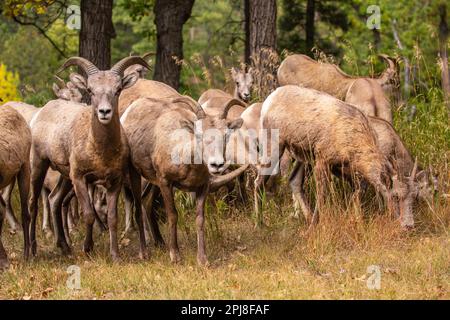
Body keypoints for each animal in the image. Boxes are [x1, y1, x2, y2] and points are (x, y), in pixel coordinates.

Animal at [29, 56, 150, 262]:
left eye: (118, 90)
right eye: (90, 90)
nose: (104, 112)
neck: (100, 150)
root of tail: (43, 110)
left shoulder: (114, 182)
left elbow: (112, 218)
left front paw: (115, 256)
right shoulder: (80, 178)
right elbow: (88, 214)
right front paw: (87, 248)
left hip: (65, 176)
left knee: (54, 200)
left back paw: (65, 248)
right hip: (40, 164)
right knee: (33, 203)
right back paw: (32, 249)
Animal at [121, 95, 248, 264]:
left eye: (226, 135)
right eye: (199, 135)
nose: (216, 165)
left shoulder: (202, 187)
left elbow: (200, 219)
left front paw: (202, 259)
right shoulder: (165, 182)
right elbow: (173, 215)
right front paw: (175, 255)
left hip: (153, 184)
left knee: (147, 204)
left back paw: (160, 243)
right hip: (136, 174)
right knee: (137, 209)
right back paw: (144, 253)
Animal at [256, 86, 418, 229]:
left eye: (413, 198)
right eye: (395, 196)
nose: (408, 226)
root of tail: (268, 100)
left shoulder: (344, 170)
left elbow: (357, 194)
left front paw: (358, 222)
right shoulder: (323, 159)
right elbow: (322, 197)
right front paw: (317, 226)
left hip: (303, 155)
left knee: (294, 180)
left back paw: (307, 217)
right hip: (275, 144)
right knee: (258, 181)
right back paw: (260, 224)